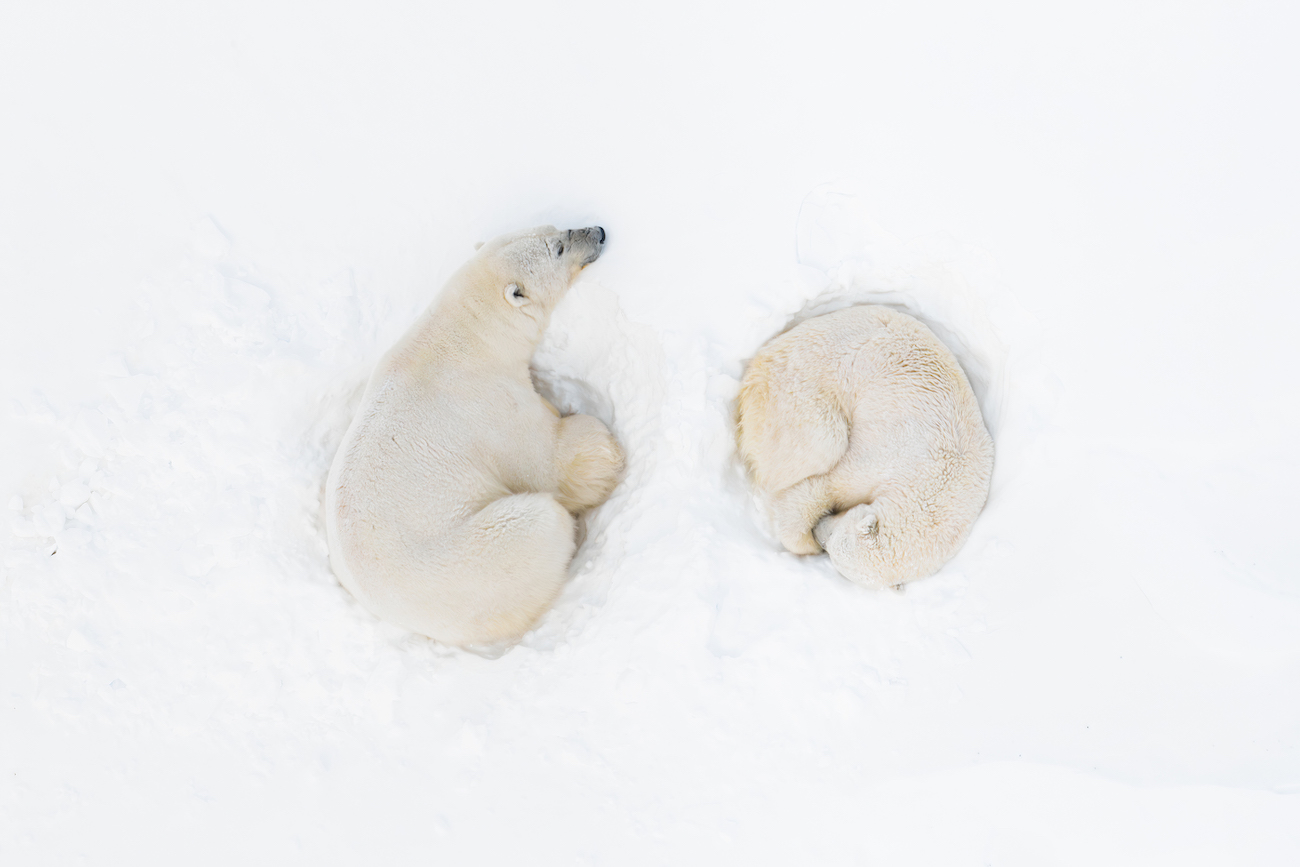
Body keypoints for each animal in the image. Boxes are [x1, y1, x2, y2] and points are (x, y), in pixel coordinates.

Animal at [324, 225, 623, 646]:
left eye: (557, 228)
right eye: (560, 247)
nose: (597, 231)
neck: (464, 336)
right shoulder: (490, 405)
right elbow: (549, 461)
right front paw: (605, 450)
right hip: (480, 559)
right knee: (542, 521)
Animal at [736, 305, 993, 589]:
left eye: (832, 547)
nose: (817, 531)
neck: (940, 479)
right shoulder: (894, 452)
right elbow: (830, 483)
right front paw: (801, 541)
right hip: (800, 386)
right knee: (821, 444)